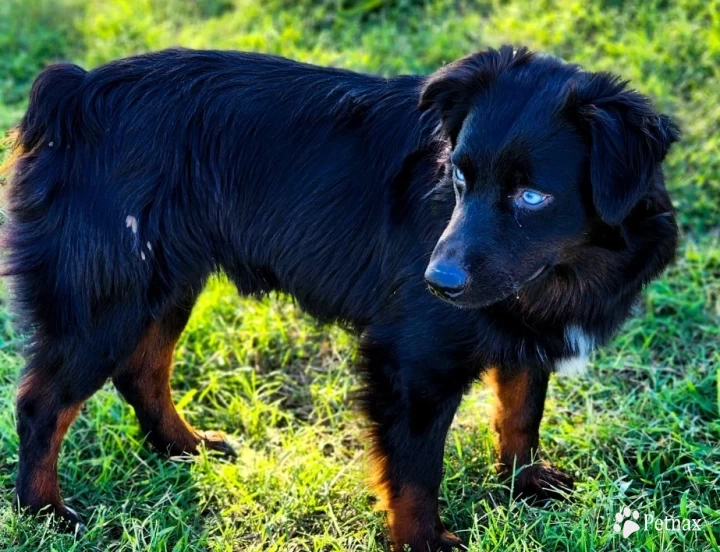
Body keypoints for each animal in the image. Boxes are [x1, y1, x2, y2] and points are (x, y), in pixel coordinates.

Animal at [2, 47, 676, 552]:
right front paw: (422, 543)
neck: (563, 270)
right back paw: (44, 513)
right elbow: (415, 470)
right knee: (41, 403)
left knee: (142, 370)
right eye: (460, 177)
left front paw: (523, 483)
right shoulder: (410, 362)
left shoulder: (522, 334)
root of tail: (74, 91)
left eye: (532, 197)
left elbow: (520, 413)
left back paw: (185, 448)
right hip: (104, 299)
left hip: (162, 285)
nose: (437, 283)